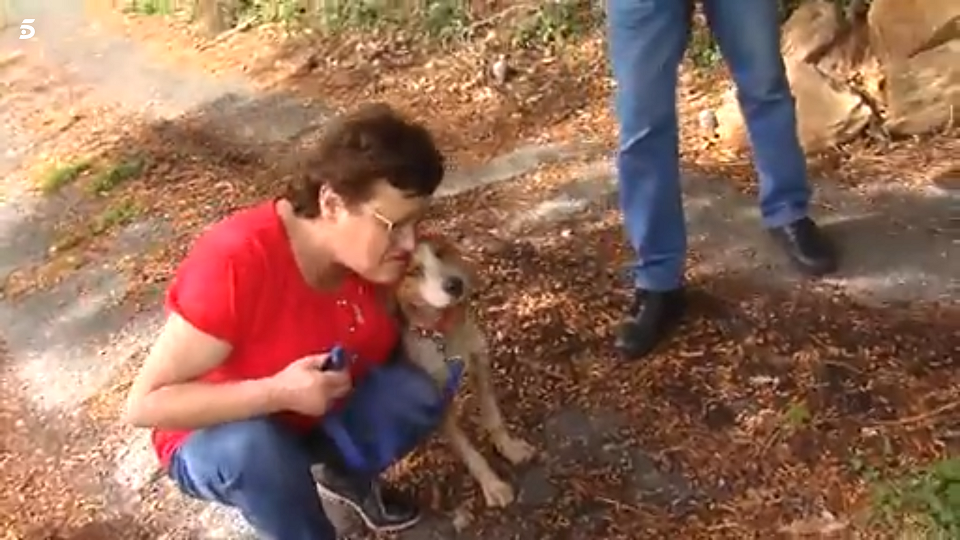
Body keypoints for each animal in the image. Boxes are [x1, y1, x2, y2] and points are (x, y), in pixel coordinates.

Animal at [394, 234, 536, 508]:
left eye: (441, 252)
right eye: (414, 271)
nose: (455, 284)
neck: (443, 334)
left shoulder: (480, 360)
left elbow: (494, 418)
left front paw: (509, 448)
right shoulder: (438, 402)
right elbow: (470, 452)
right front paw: (492, 485)